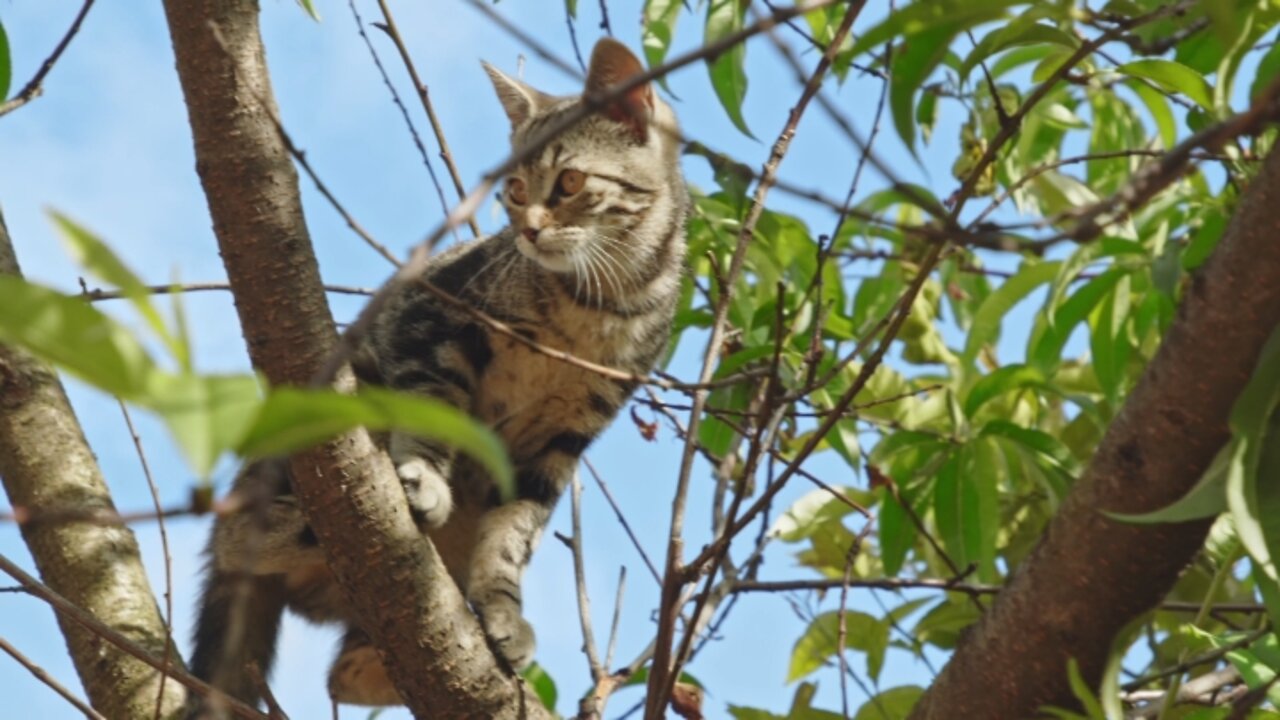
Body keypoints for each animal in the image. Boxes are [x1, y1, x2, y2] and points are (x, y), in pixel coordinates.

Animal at [186, 36, 691, 707]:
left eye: (569, 182)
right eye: (513, 189)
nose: (528, 232)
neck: (598, 305)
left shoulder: (567, 435)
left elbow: (516, 532)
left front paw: (502, 608)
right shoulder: (430, 319)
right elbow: (432, 414)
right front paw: (425, 476)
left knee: (341, 676)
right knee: (238, 540)